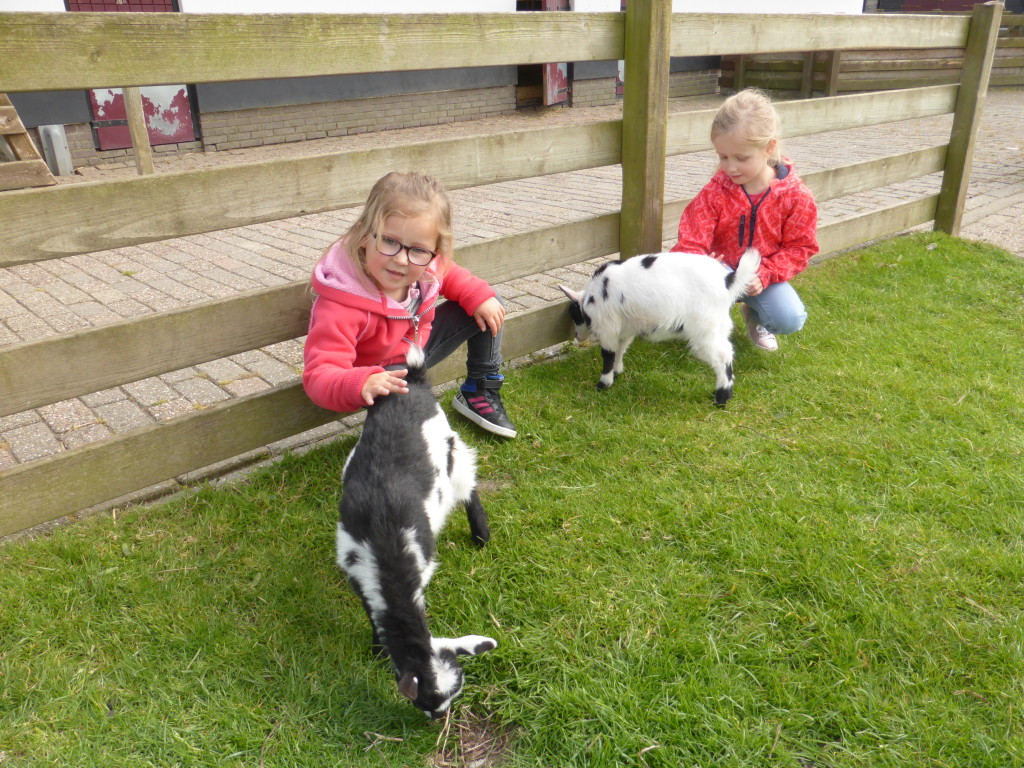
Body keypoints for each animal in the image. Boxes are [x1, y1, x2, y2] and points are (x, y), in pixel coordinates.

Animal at [335, 348, 495, 720]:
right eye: (426, 699)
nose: (438, 719)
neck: (387, 548)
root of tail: (415, 380)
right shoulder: (355, 568)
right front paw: (377, 650)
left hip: (452, 450)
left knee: (469, 485)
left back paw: (481, 535)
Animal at [561, 250, 761, 409]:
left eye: (574, 314)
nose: (577, 337)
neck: (591, 296)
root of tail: (728, 281)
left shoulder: (607, 327)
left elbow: (608, 354)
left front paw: (604, 384)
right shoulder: (625, 328)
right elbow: (620, 349)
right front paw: (617, 373)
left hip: (704, 327)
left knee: (722, 356)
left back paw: (720, 399)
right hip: (719, 324)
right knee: (728, 350)